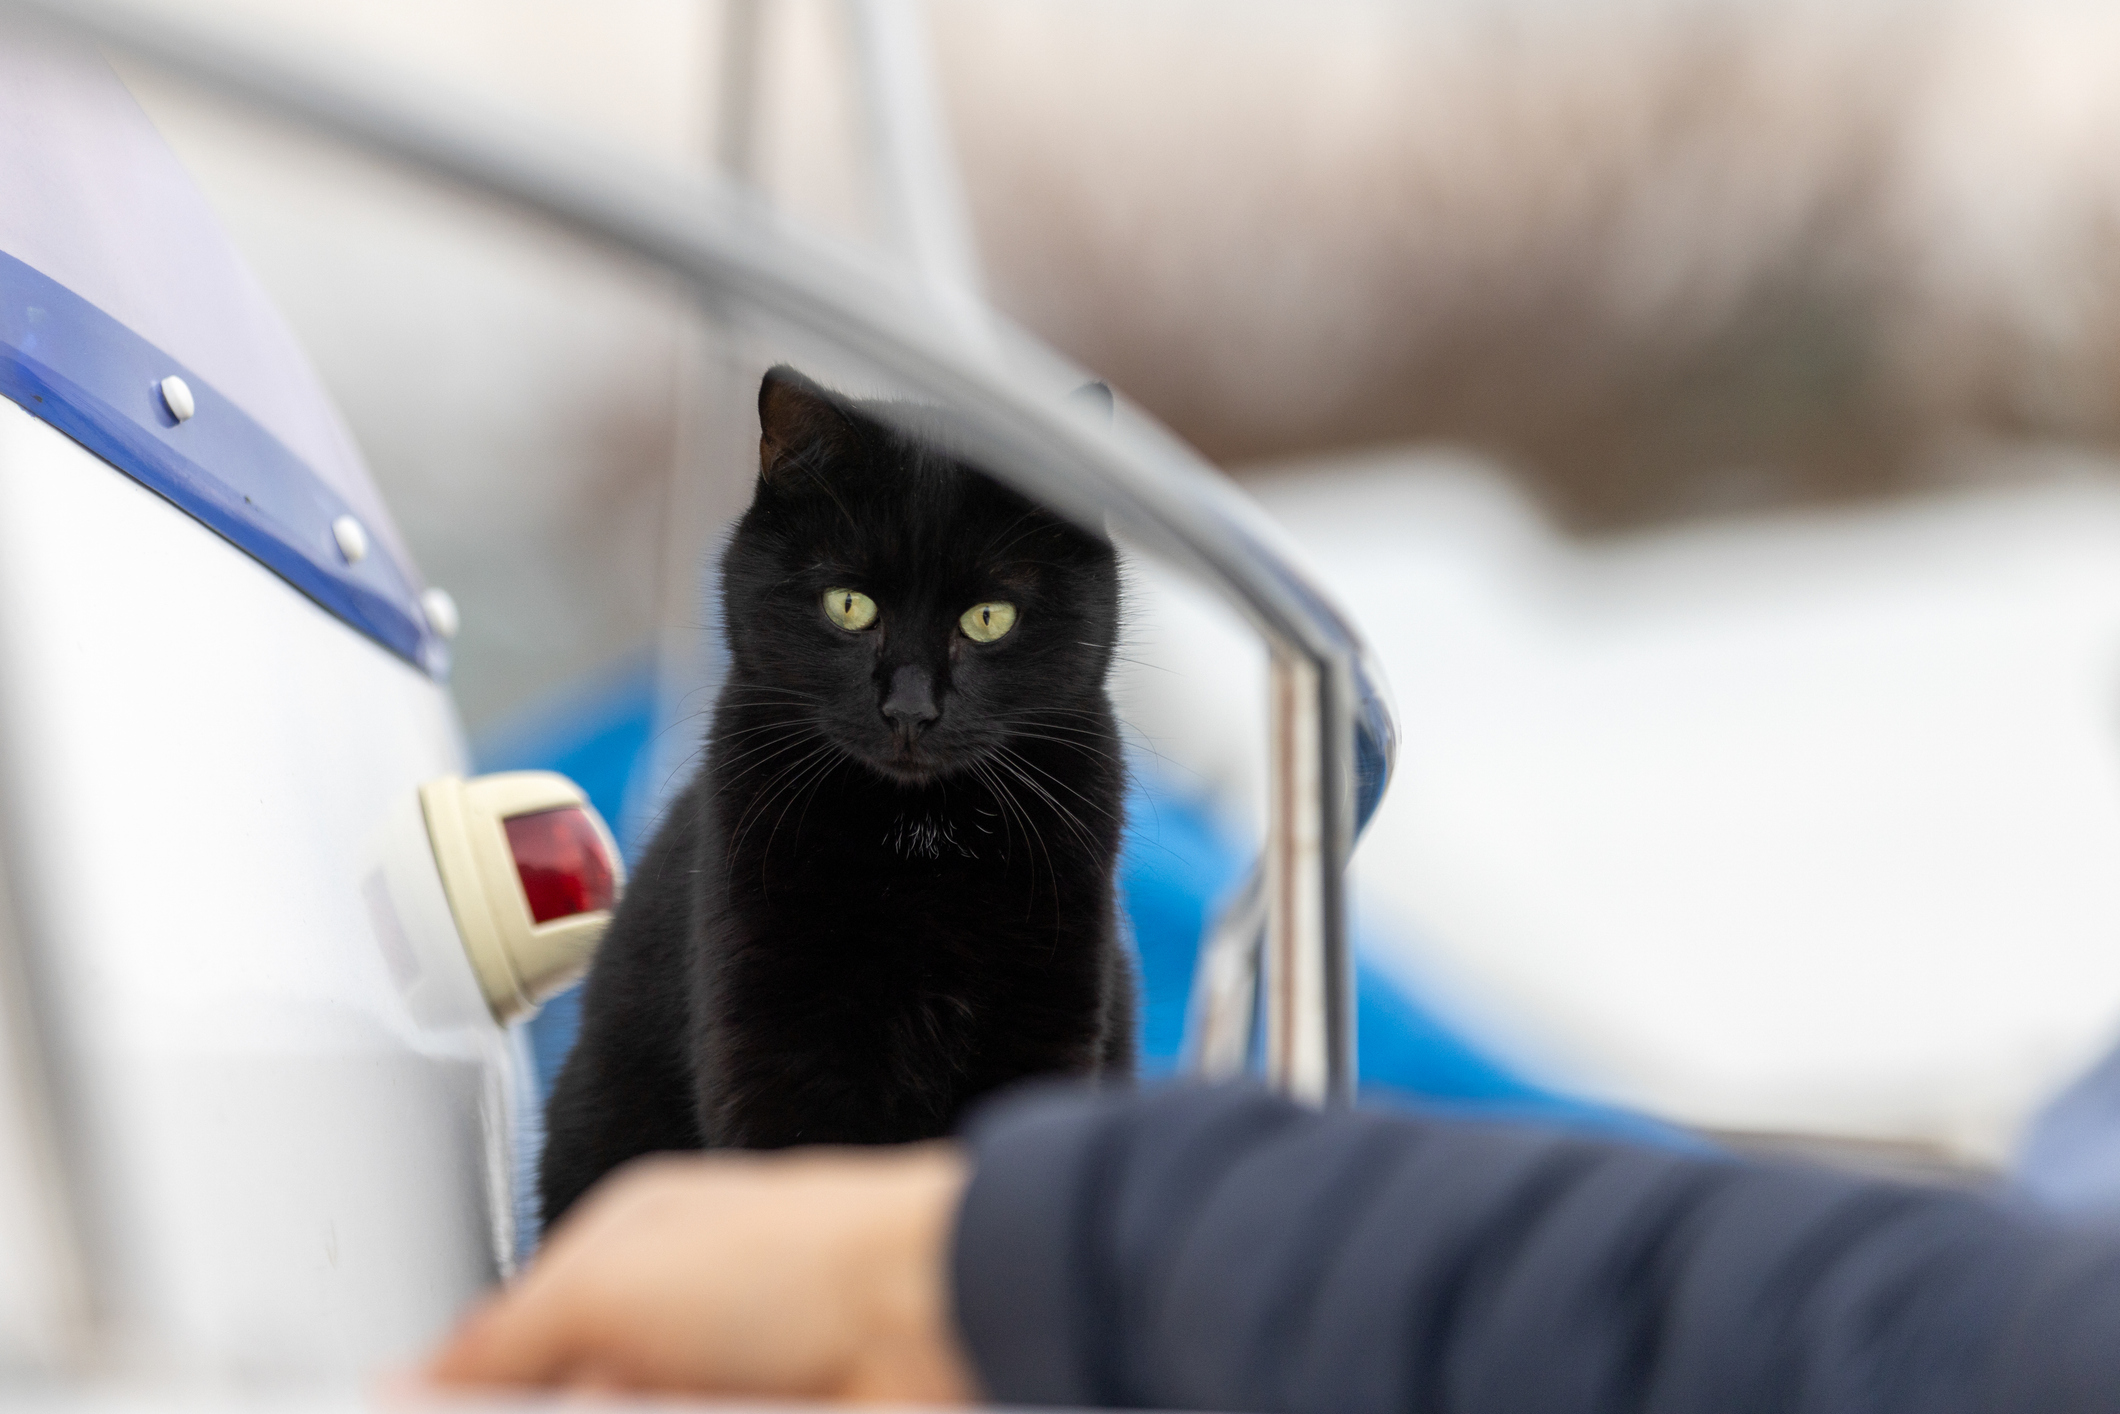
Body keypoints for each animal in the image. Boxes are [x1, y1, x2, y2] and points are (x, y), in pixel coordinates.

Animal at [546, 364, 1144, 1229]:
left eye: (988, 618)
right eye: (851, 605)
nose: (910, 709)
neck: (920, 841)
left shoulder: (1048, 1028)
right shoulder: (775, 1045)